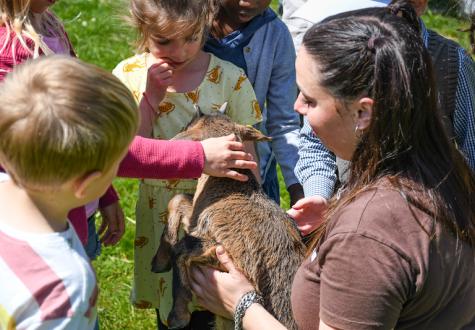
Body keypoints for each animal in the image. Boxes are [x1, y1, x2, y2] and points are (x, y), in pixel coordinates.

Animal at [152, 114, 306, 330]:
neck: (231, 190)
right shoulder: (196, 218)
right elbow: (177, 200)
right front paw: (159, 260)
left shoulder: (221, 251)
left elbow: (181, 249)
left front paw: (178, 316)